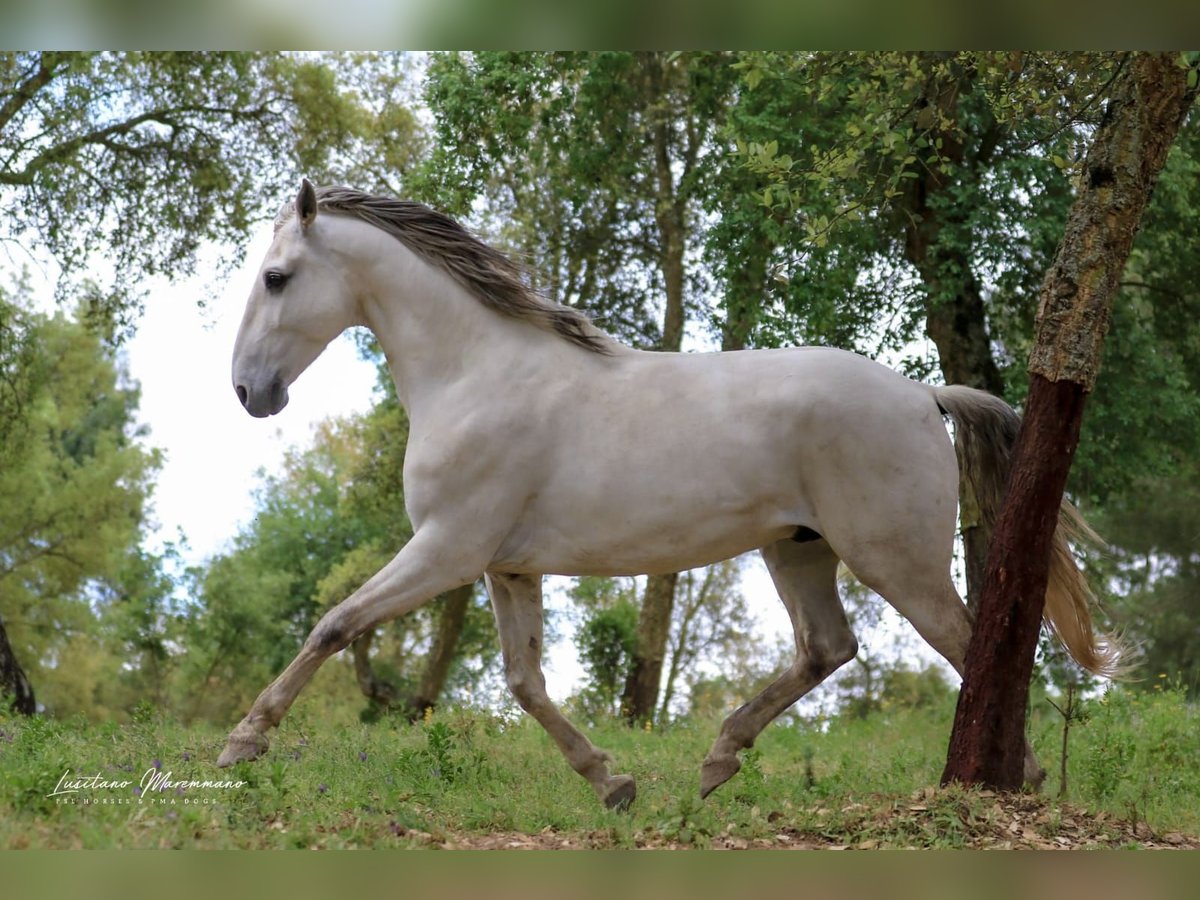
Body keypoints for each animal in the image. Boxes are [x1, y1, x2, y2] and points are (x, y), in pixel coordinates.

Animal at [218, 177, 1123, 811]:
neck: (476, 373)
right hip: (798, 551)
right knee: (828, 649)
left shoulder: (447, 549)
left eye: (277, 277)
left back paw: (1009, 781)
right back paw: (719, 760)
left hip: (895, 559)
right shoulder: (506, 567)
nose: (249, 392)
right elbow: (524, 681)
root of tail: (923, 393)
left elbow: (335, 623)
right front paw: (612, 784)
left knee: (970, 646)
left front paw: (240, 743)